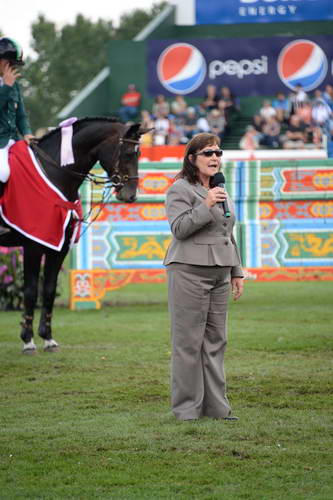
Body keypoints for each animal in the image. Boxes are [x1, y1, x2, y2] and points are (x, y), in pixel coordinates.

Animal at [0, 117, 147, 352]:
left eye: (139, 153)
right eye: (127, 153)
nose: (131, 195)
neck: (53, 173)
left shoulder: (60, 246)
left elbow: (49, 290)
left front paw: (47, 337)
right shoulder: (33, 244)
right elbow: (30, 290)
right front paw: (27, 340)